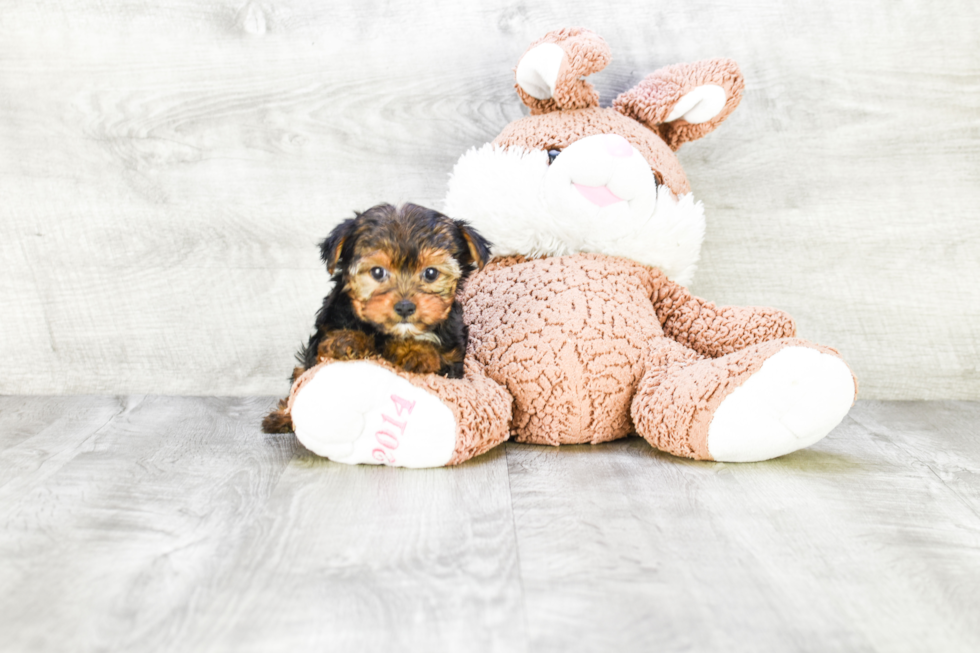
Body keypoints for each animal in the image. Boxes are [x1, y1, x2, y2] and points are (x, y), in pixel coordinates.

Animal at [260, 199, 490, 432]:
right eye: (377, 272)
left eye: (431, 273)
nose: (405, 307)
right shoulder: (322, 338)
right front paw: (347, 340)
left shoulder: (453, 360)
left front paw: (416, 351)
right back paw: (282, 416)